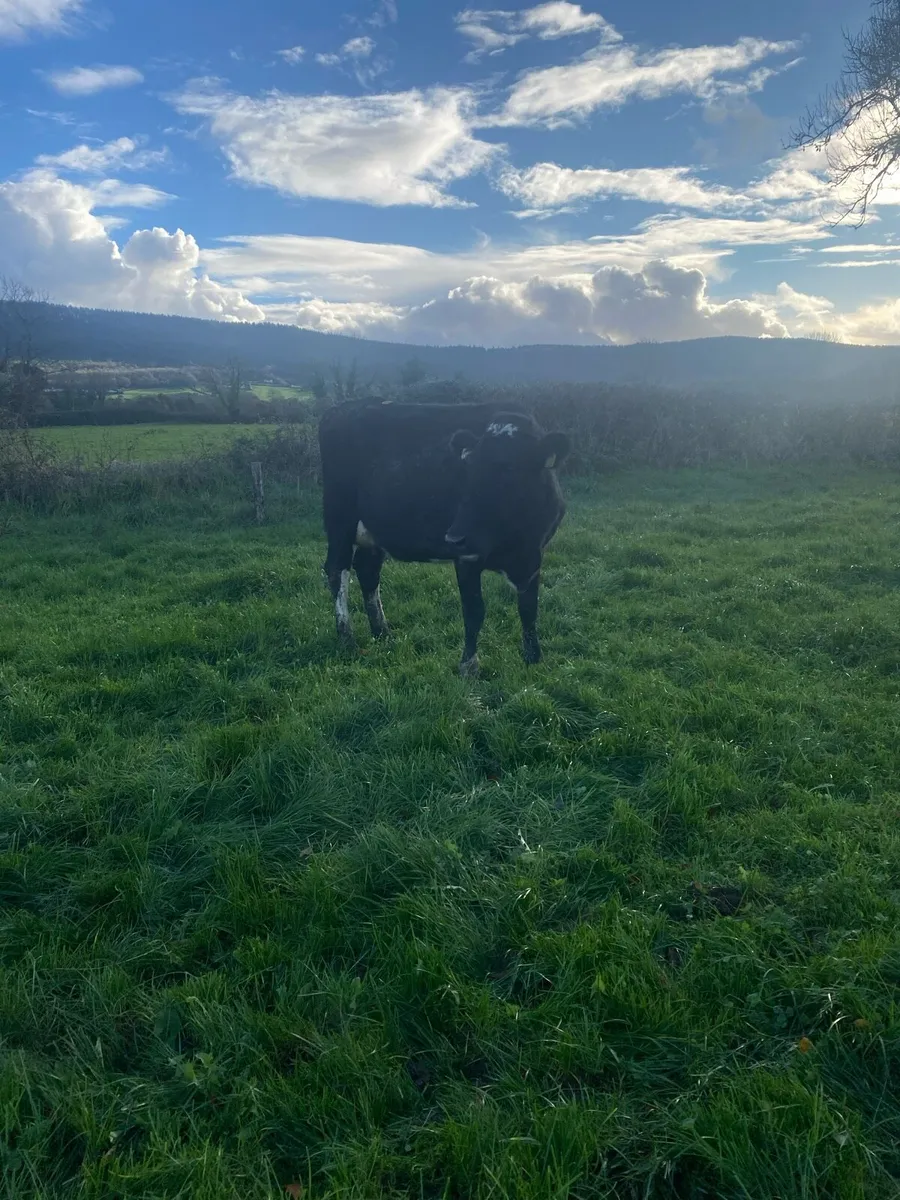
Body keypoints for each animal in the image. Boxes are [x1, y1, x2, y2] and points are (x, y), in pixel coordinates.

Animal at [318, 400, 570, 676]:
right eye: (468, 470)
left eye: (509, 469)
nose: (454, 536)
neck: (517, 545)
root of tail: (341, 408)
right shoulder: (467, 557)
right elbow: (474, 611)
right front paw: (469, 667)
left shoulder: (535, 554)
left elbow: (529, 608)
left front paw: (533, 657)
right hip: (340, 518)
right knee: (337, 570)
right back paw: (347, 637)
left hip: (374, 529)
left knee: (367, 571)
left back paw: (382, 631)